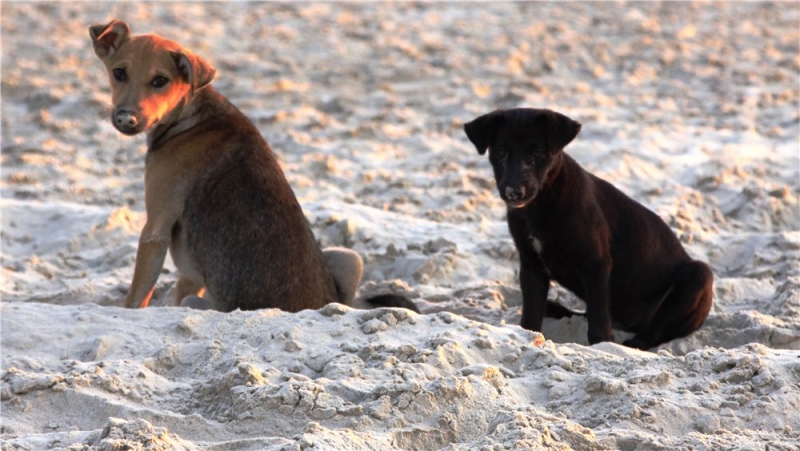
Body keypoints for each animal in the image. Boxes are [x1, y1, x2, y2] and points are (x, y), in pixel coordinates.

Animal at [90, 20, 418, 314]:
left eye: (160, 81)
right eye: (119, 73)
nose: (126, 118)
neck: (190, 113)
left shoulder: (155, 230)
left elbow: (136, 298)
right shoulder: (190, 273)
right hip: (348, 258)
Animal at [462, 108, 712, 350]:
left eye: (537, 153)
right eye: (501, 152)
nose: (514, 192)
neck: (542, 204)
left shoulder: (596, 263)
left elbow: (599, 319)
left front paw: (603, 345)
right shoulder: (532, 265)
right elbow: (532, 312)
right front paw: (527, 335)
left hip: (699, 276)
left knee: (655, 330)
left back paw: (634, 344)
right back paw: (557, 309)